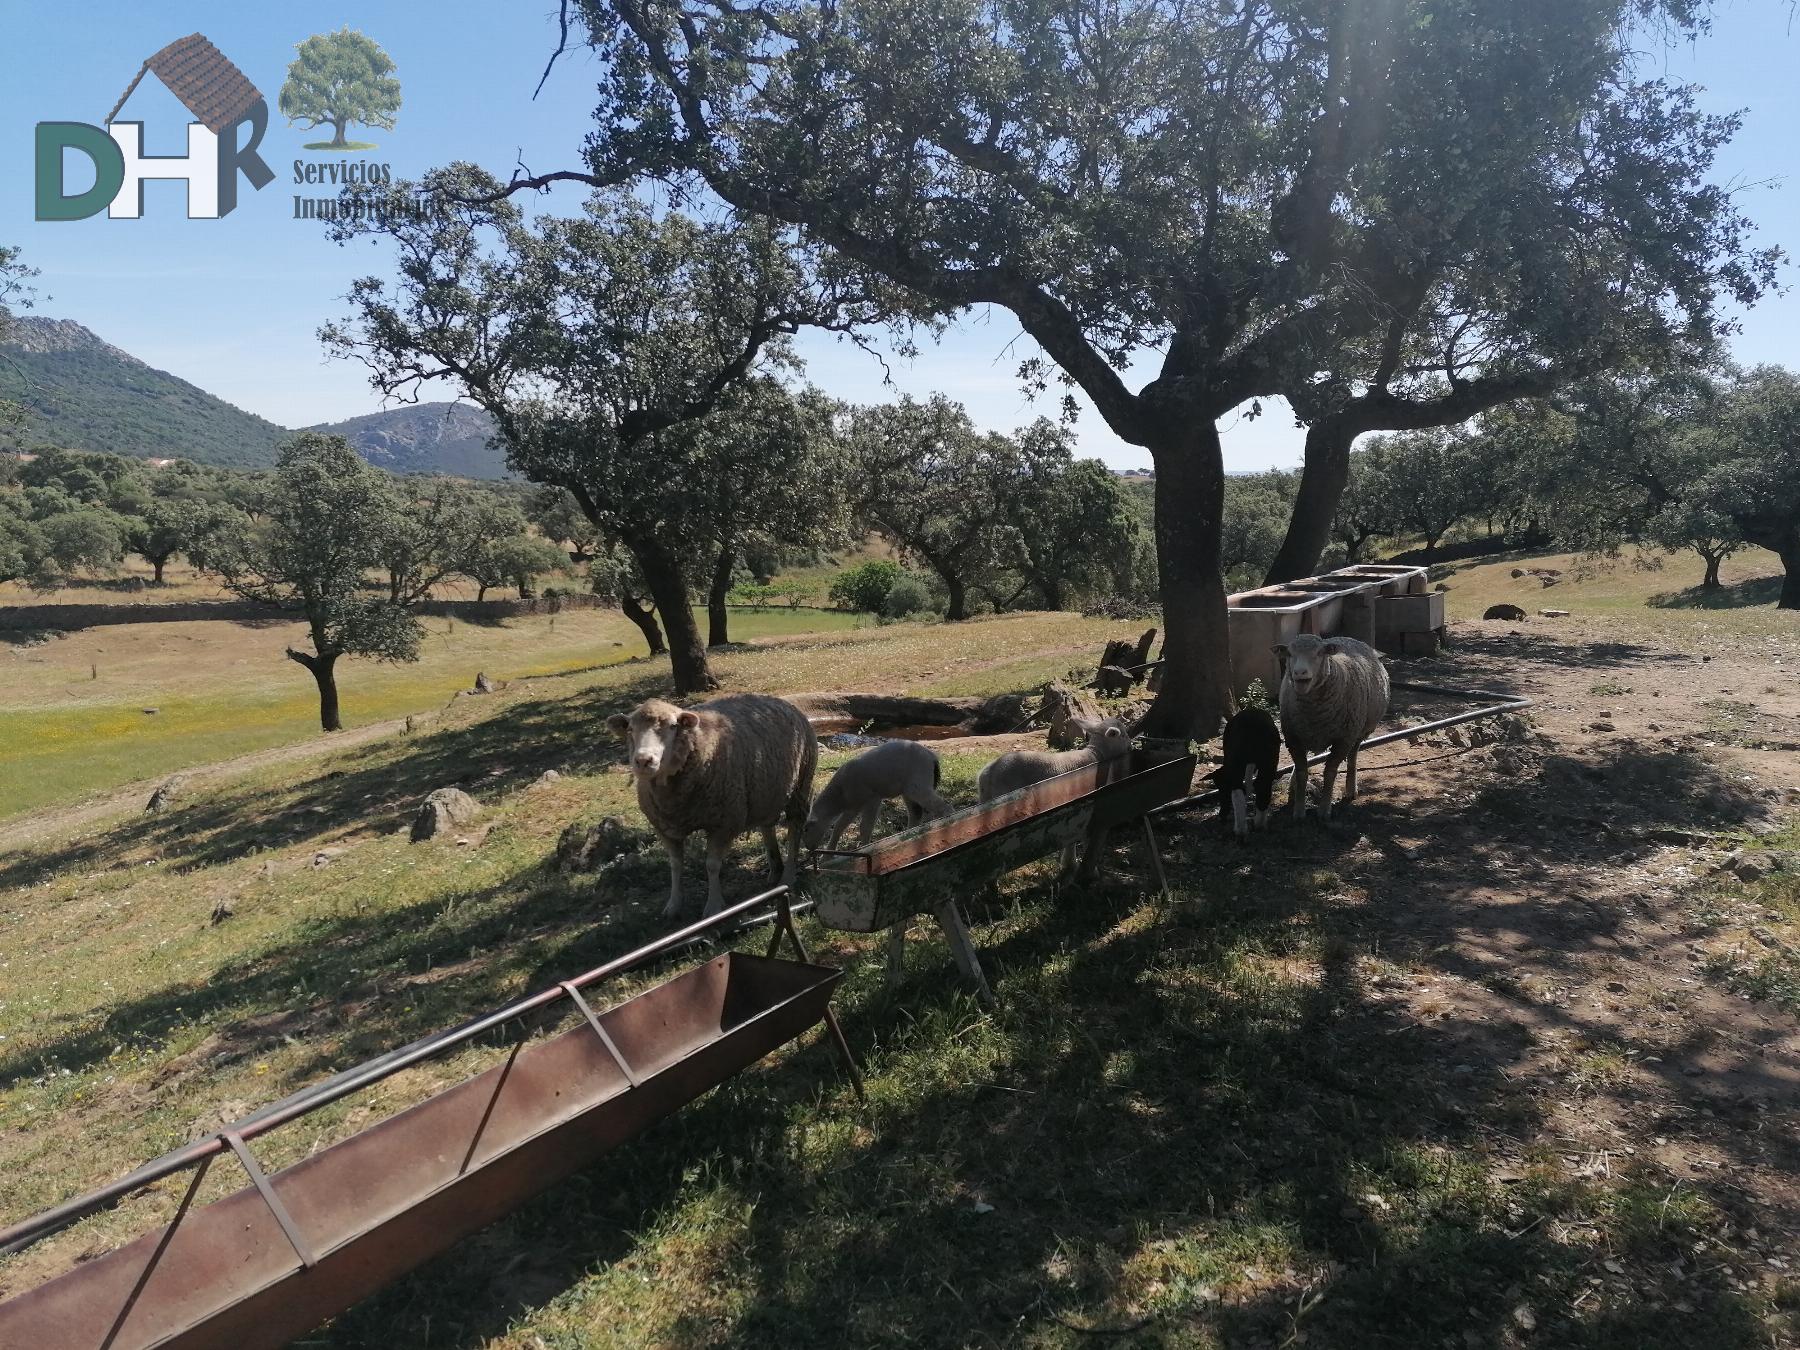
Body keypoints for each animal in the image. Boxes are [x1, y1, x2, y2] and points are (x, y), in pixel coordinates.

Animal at [612, 698, 824, 921]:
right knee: (767, 826)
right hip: (766, 793)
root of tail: (783, 702)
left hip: (800, 786)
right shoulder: (665, 828)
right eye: (630, 729)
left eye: (672, 726)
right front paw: (674, 904)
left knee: (794, 830)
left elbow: (712, 865)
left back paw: (788, 875)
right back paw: (775, 870)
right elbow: (675, 865)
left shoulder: (724, 822)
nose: (643, 761)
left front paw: (713, 907)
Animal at [795, 741, 950, 856]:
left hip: (918, 784)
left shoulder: (872, 799)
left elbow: (865, 827)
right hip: (908, 789)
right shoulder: (853, 806)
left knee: (942, 805)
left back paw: (948, 823)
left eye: (806, 829)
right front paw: (828, 854)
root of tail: (932, 757)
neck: (839, 796)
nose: (809, 848)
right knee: (917, 813)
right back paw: (913, 833)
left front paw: (864, 848)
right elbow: (839, 827)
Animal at [1274, 633, 1382, 824]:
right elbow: (1302, 772)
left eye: (1319, 652)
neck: (1314, 713)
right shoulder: (1293, 737)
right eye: (1289, 654)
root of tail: (1345, 637)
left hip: (1358, 731)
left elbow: (1330, 772)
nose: (1299, 673)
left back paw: (1351, 789)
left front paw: (1324, 810)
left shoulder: (1343, 739)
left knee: (1353, 756)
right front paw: (1299, 811)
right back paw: (1293, 788)